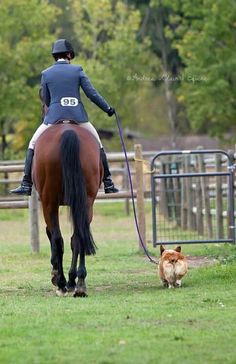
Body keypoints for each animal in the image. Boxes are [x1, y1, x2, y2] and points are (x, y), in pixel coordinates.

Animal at [32, 123, 103, 298]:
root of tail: (68, 132)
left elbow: (53, 238)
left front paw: (56, 275)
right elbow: (74, 240)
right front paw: (72, 279)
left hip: (49, 202)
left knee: (58, 238)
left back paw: (62, 283)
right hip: (86, 203)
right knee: (79, 236)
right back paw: (79, 284)